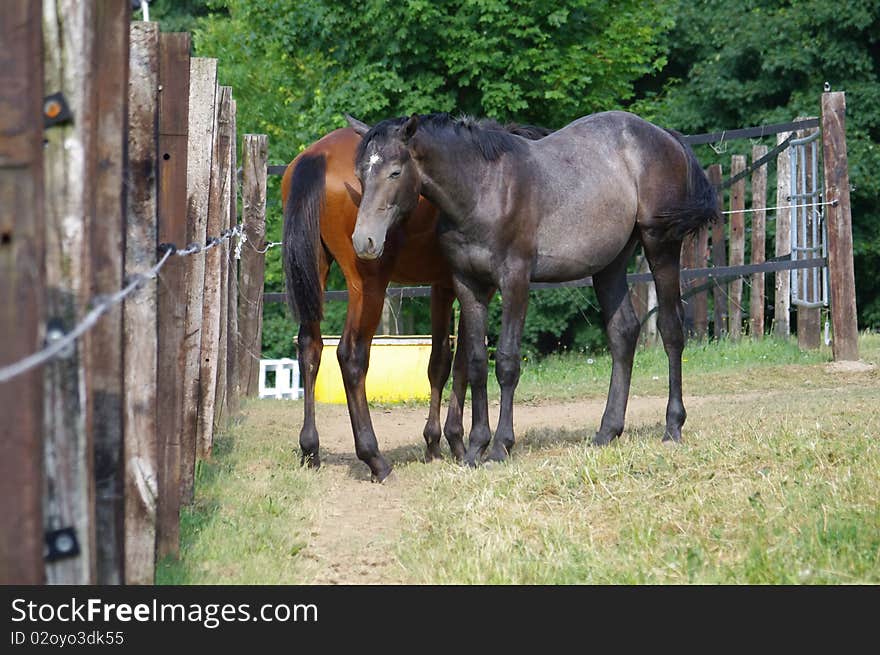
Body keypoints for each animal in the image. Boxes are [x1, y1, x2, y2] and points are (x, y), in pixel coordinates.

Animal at [282, 123, 548, 482]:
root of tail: (318, 155)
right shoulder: (472, 286)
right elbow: (463, 360)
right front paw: (456, 441)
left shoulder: (442, 286)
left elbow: (441, 362)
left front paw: (435, 442)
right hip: (368, 287)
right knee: (351, 356)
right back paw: (374, 458)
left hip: (315, 273)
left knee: (311, 348)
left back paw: (310, 449)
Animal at [348, 111, 720, 466]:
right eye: (361, 174)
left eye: (395, 172)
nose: (364, 241)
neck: (482, 189)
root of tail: (664, 136)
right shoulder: (469, 285)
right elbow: (477, 363)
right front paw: (475, 448)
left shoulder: (515, 281)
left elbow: (507, 363)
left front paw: (500, 446)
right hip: (611, 264)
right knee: (623, 333)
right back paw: (607, 431)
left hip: (660, 246)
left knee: (671, 329)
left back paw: (672, 426)